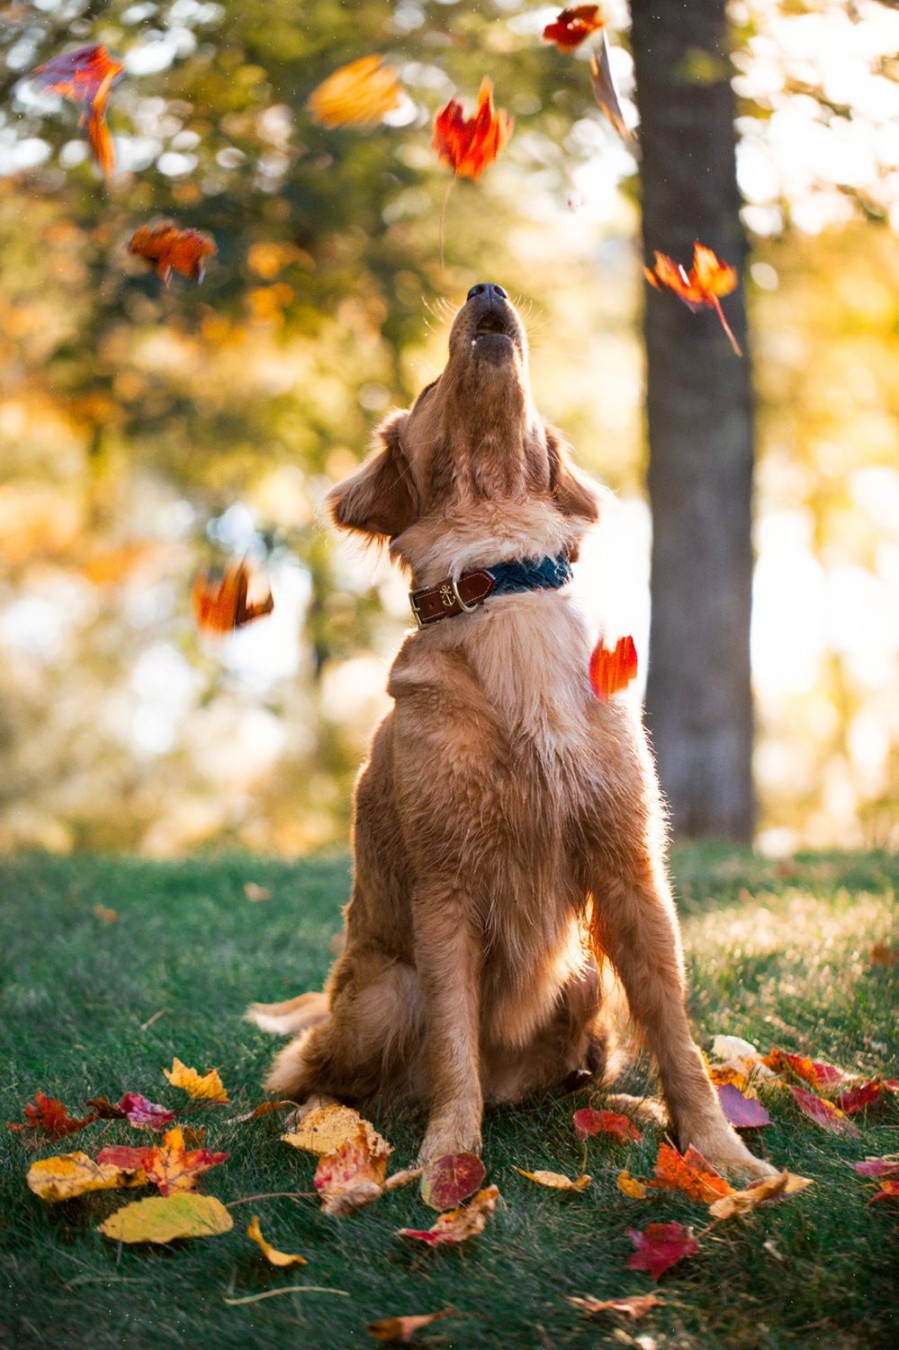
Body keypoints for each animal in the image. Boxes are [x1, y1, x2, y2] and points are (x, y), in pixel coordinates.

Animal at [245, 279, 772, 1177]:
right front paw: (447, 1164)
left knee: (579, 1074)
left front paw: (719, 1154)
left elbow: (675, 1035)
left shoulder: (630, 873)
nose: (485, 288)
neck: (499, 574)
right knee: (316, 1076)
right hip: (387, 993)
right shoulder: (444, 889)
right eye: (429, 387)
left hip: (584, 970)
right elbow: (454, 1045)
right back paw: (336, 1127)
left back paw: (626, 1108)